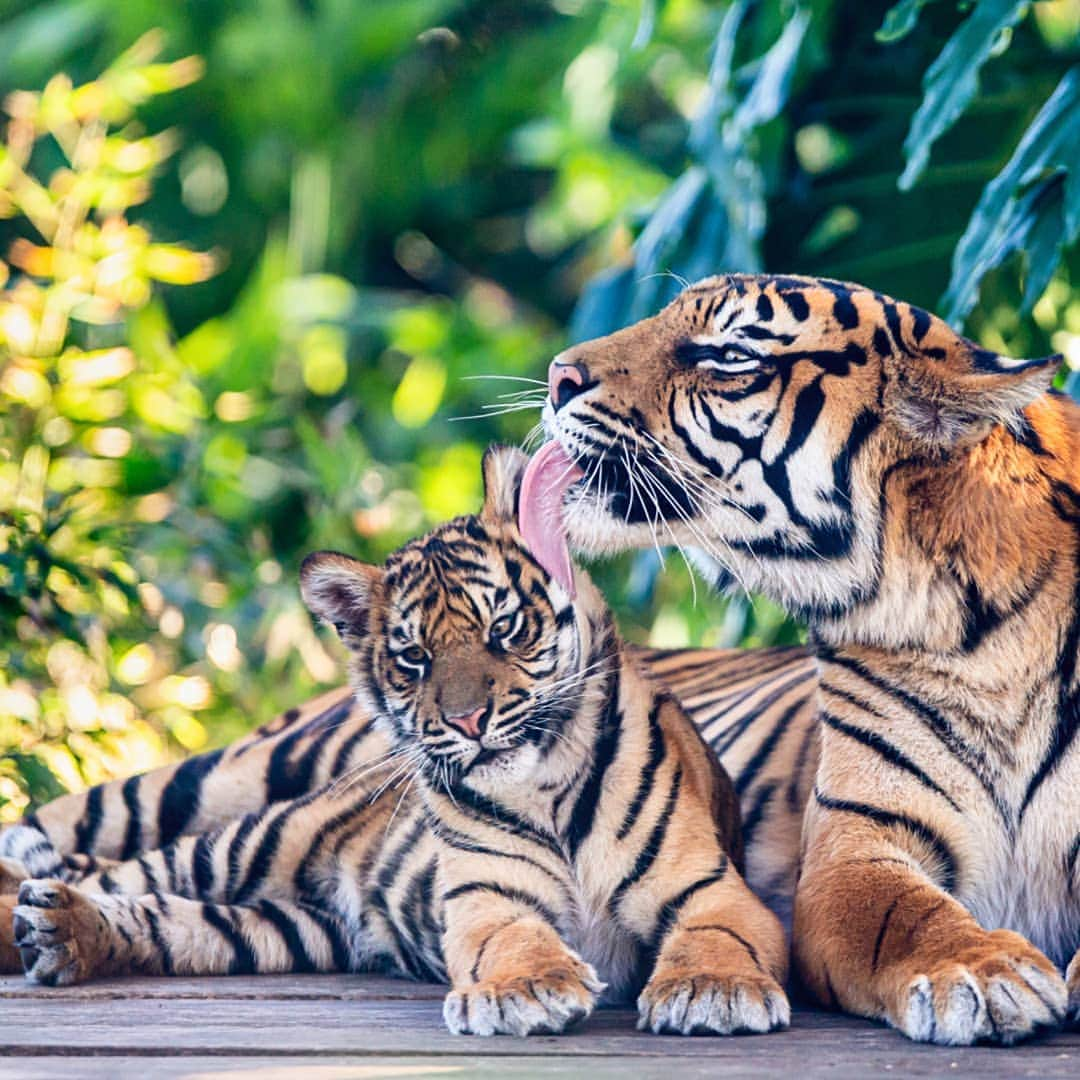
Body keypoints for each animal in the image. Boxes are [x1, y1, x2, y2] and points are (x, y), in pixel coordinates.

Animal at [4, 449, 790, 1036]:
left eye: (504, 628)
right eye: (414, 658)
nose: (470, 720)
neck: (545, 785)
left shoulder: (712, 888)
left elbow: (720, 938)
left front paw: (712, 991)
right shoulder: (489, 901)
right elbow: (511, 939)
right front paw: (525, 989)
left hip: (284, 927)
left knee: (162, 916)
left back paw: (59, 932)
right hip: (244, 842)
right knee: (114, 874)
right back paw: (42, 917)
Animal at [540, 272, 1080, 1045]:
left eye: (730, 353)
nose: (557, 376)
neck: (984, 635)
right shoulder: (853, 848)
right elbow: (908, 916)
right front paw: (983, 971)